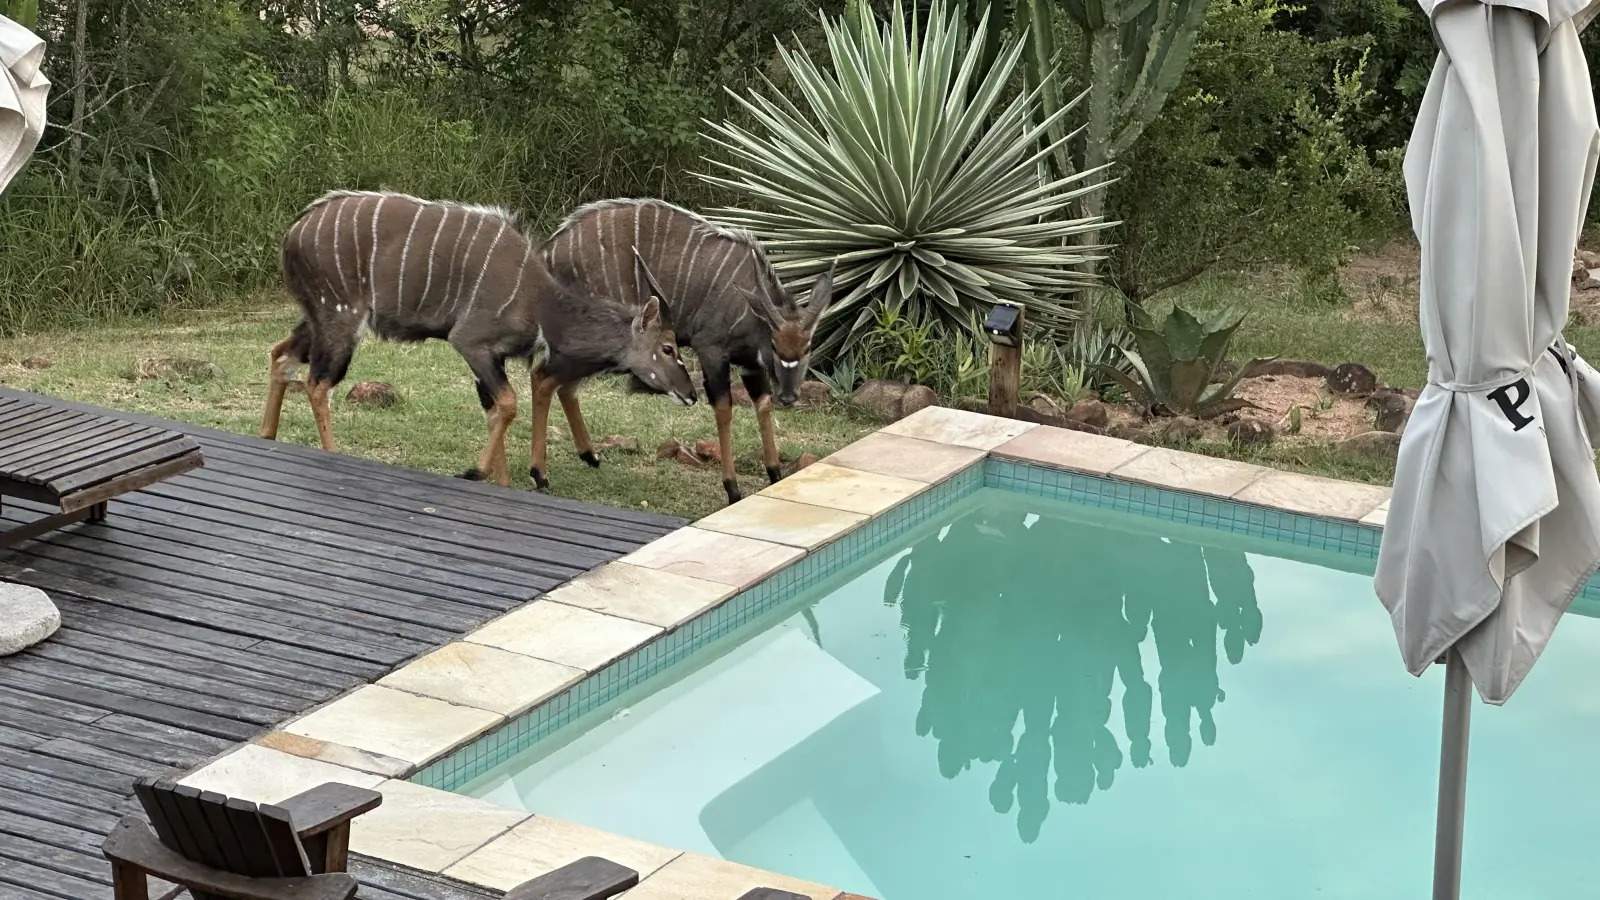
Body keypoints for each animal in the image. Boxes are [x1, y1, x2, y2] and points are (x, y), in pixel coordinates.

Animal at [259, 187, 697, 483]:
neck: (541, 303)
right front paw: (473, 472)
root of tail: (292, 232)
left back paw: (267, 436)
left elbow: (494, 409)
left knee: (281, 354)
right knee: (318, 384)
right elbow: (508, 404)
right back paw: (333, 454)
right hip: (341, 320)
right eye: (668, 347)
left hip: (316, 317)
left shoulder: (492, 357)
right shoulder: (470, 343)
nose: (691, 394)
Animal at [547, 197, 832, 506]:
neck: (748, 309)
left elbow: (763, 405)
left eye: (807, 347)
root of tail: (549, 251)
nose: (789, 396)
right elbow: (723, 409)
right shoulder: (711, 351)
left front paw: (775, 476)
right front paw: (732, 489)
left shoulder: (750, 366)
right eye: (775, 345)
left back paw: (589, 457)